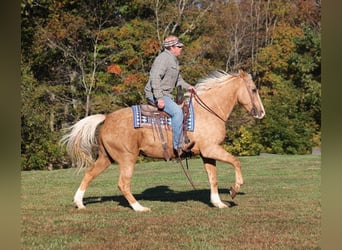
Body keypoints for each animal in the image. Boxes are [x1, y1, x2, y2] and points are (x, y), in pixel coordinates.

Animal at [60, 69, 264, 212]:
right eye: (254, 89)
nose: (261, 113)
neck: (208, 111)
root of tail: (107, 117)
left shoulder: (207, 154)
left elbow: (212, 178)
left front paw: (218, 203)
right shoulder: (212, 149)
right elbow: (235, 162)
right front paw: (234, 189)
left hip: (106, 157)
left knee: (89, 174)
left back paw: (79, 203)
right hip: (127, 158)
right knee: (123, 184)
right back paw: (139, 207)